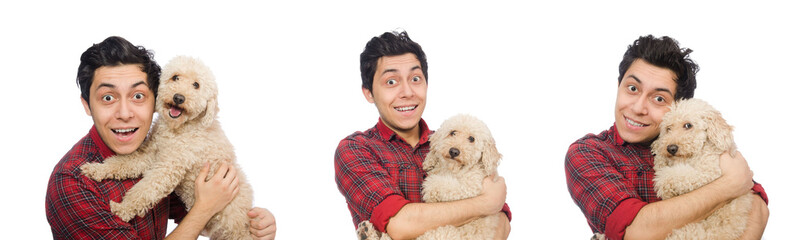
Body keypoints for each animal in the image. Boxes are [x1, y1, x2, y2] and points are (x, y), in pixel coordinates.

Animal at [358, 114, 502, 240]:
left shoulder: (470, 187)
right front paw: (429, 161)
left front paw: (429, 189)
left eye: (472, 139)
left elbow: (443, 184)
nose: (454, 151)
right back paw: (365, 232)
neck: (452, 168)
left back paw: (366, 233)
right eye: (453, 132)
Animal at [652, 98, 752, 239]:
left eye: (688, 125)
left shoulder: (708, 172)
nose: (671, 148)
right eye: (668, 128)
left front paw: (664, 187)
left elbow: (676, 176)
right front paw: (659, 156)